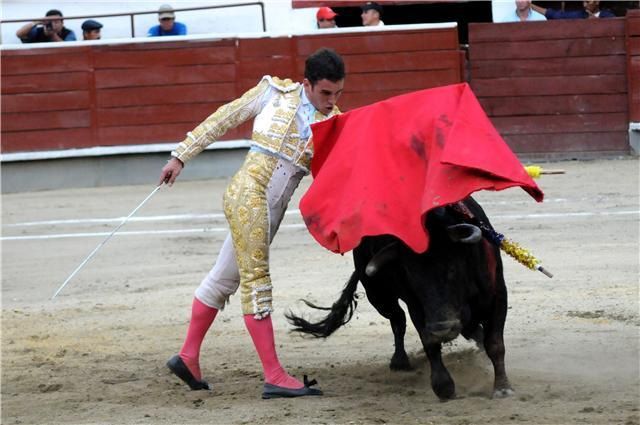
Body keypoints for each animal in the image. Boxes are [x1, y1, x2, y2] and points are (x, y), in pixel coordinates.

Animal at [287, 197, 514, 400]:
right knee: (398, 320)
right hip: (378, 296)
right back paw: (400, 361)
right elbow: (429, 343)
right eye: (412, 276)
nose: (441, 328)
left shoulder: (498, 296)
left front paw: (502, 388)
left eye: (452, 268)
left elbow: (495, 343)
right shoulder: (416, 307)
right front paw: (444, 387)